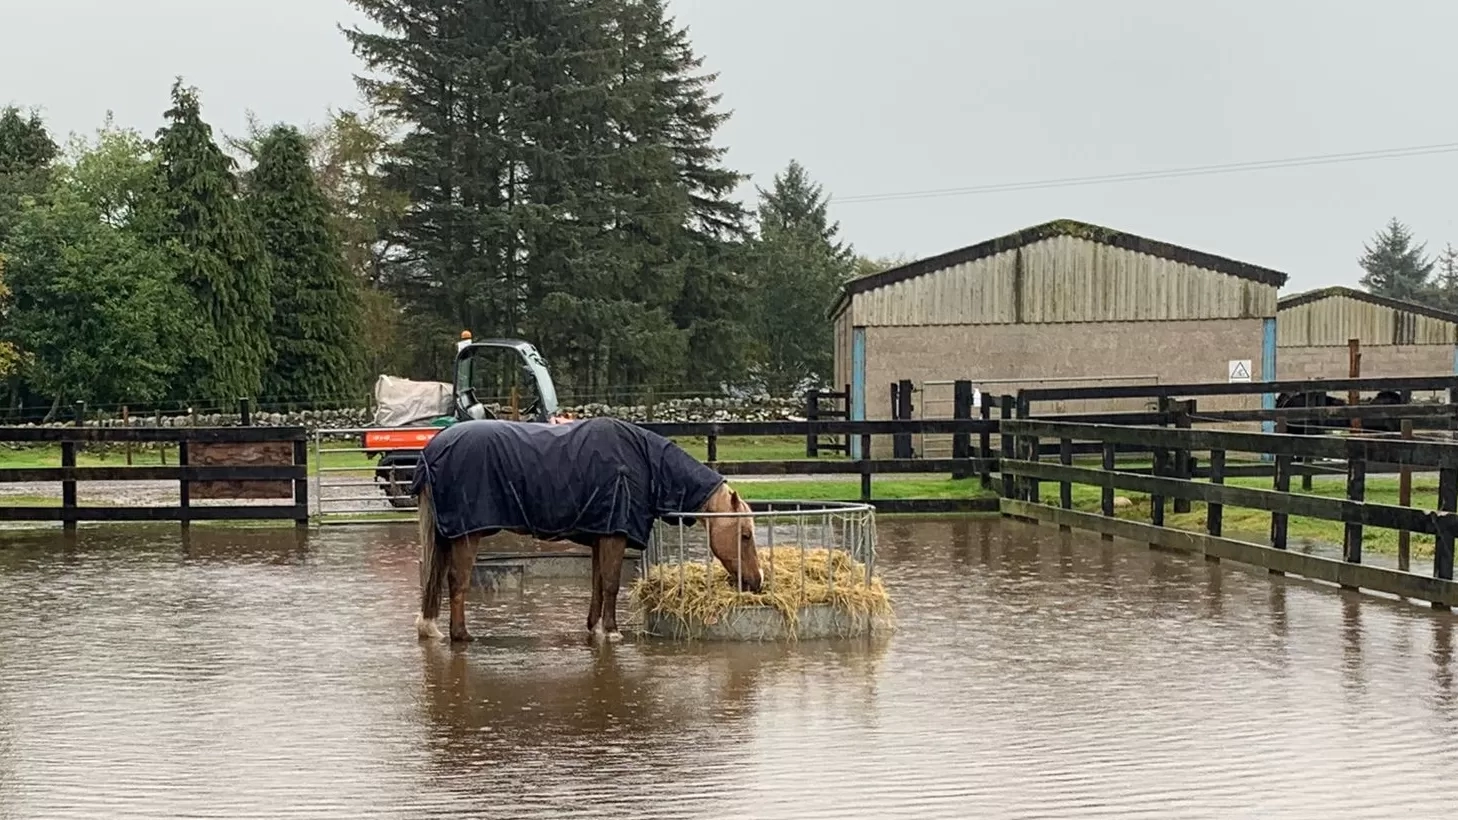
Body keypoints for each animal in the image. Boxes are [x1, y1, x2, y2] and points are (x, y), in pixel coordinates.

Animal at [410, 416, 763, 644]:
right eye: (745, 535)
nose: (757, 582)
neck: (644, 463)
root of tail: (433, 450)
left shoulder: (599, 536)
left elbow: (597, 584)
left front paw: (594, 629)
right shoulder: (614, 536)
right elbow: (611, 584)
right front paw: (612, 632)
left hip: (448, 536)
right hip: (466, 536)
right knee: (457, 582)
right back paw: (461, 635)